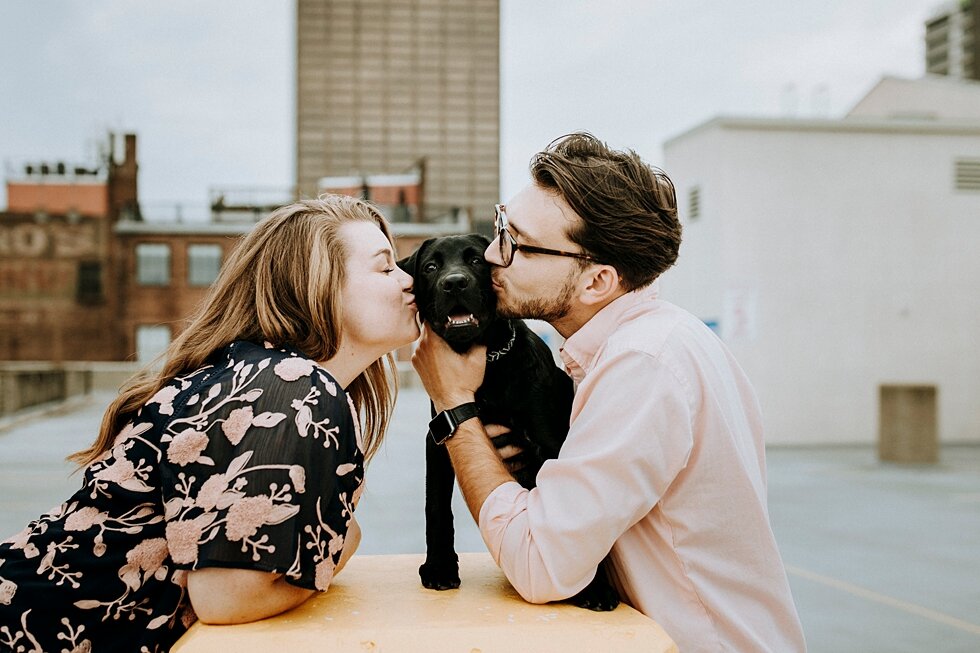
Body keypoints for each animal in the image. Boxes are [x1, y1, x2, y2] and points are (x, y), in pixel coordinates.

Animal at [400, 234, 620, 612]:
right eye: (430, 267)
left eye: (477, 261)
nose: (454, 282)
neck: (489, 364)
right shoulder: (440, 439)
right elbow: (437, 508)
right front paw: (440, 566)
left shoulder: (548, 442)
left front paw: (596, 588)